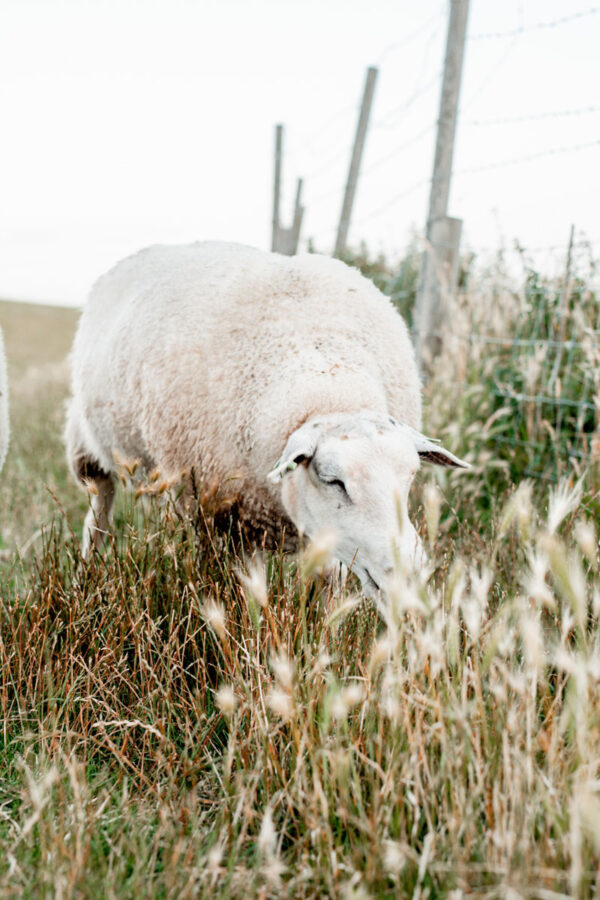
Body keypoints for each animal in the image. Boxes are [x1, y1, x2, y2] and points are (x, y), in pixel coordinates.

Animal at [67, 241, 468, 592]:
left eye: (411, 475)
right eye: (333, 480)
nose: (409, 576)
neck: (331, 386)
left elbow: (328, 585)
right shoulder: (226, 517)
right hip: (88, 446)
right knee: (99, 508)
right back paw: (87, 571)